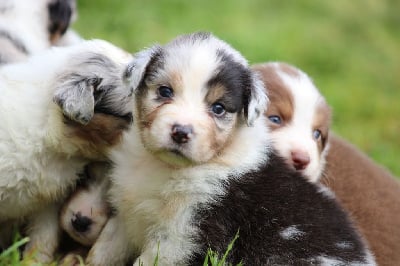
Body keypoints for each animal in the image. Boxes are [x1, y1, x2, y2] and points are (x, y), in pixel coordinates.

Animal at [85, 32, 376, 266]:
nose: (180, 132)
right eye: (165, 91)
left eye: (218, 108)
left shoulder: (184, 236)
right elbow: (102, 251)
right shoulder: (126, 215)